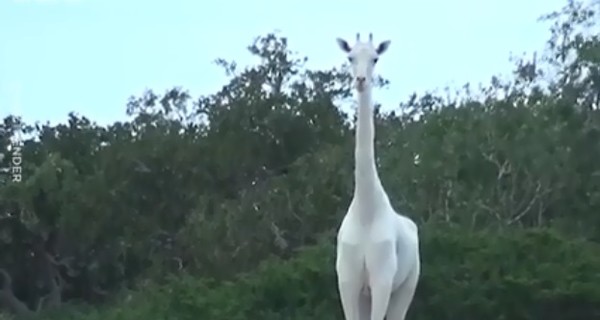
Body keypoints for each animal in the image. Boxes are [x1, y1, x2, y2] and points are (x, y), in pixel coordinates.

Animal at [332, 33, 422, 320]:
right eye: (350, 57)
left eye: (375, 58)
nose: (361, 80)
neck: (365, 211)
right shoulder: (347, 281)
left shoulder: (382, 281)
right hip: (367, 293)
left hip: (406, 286)